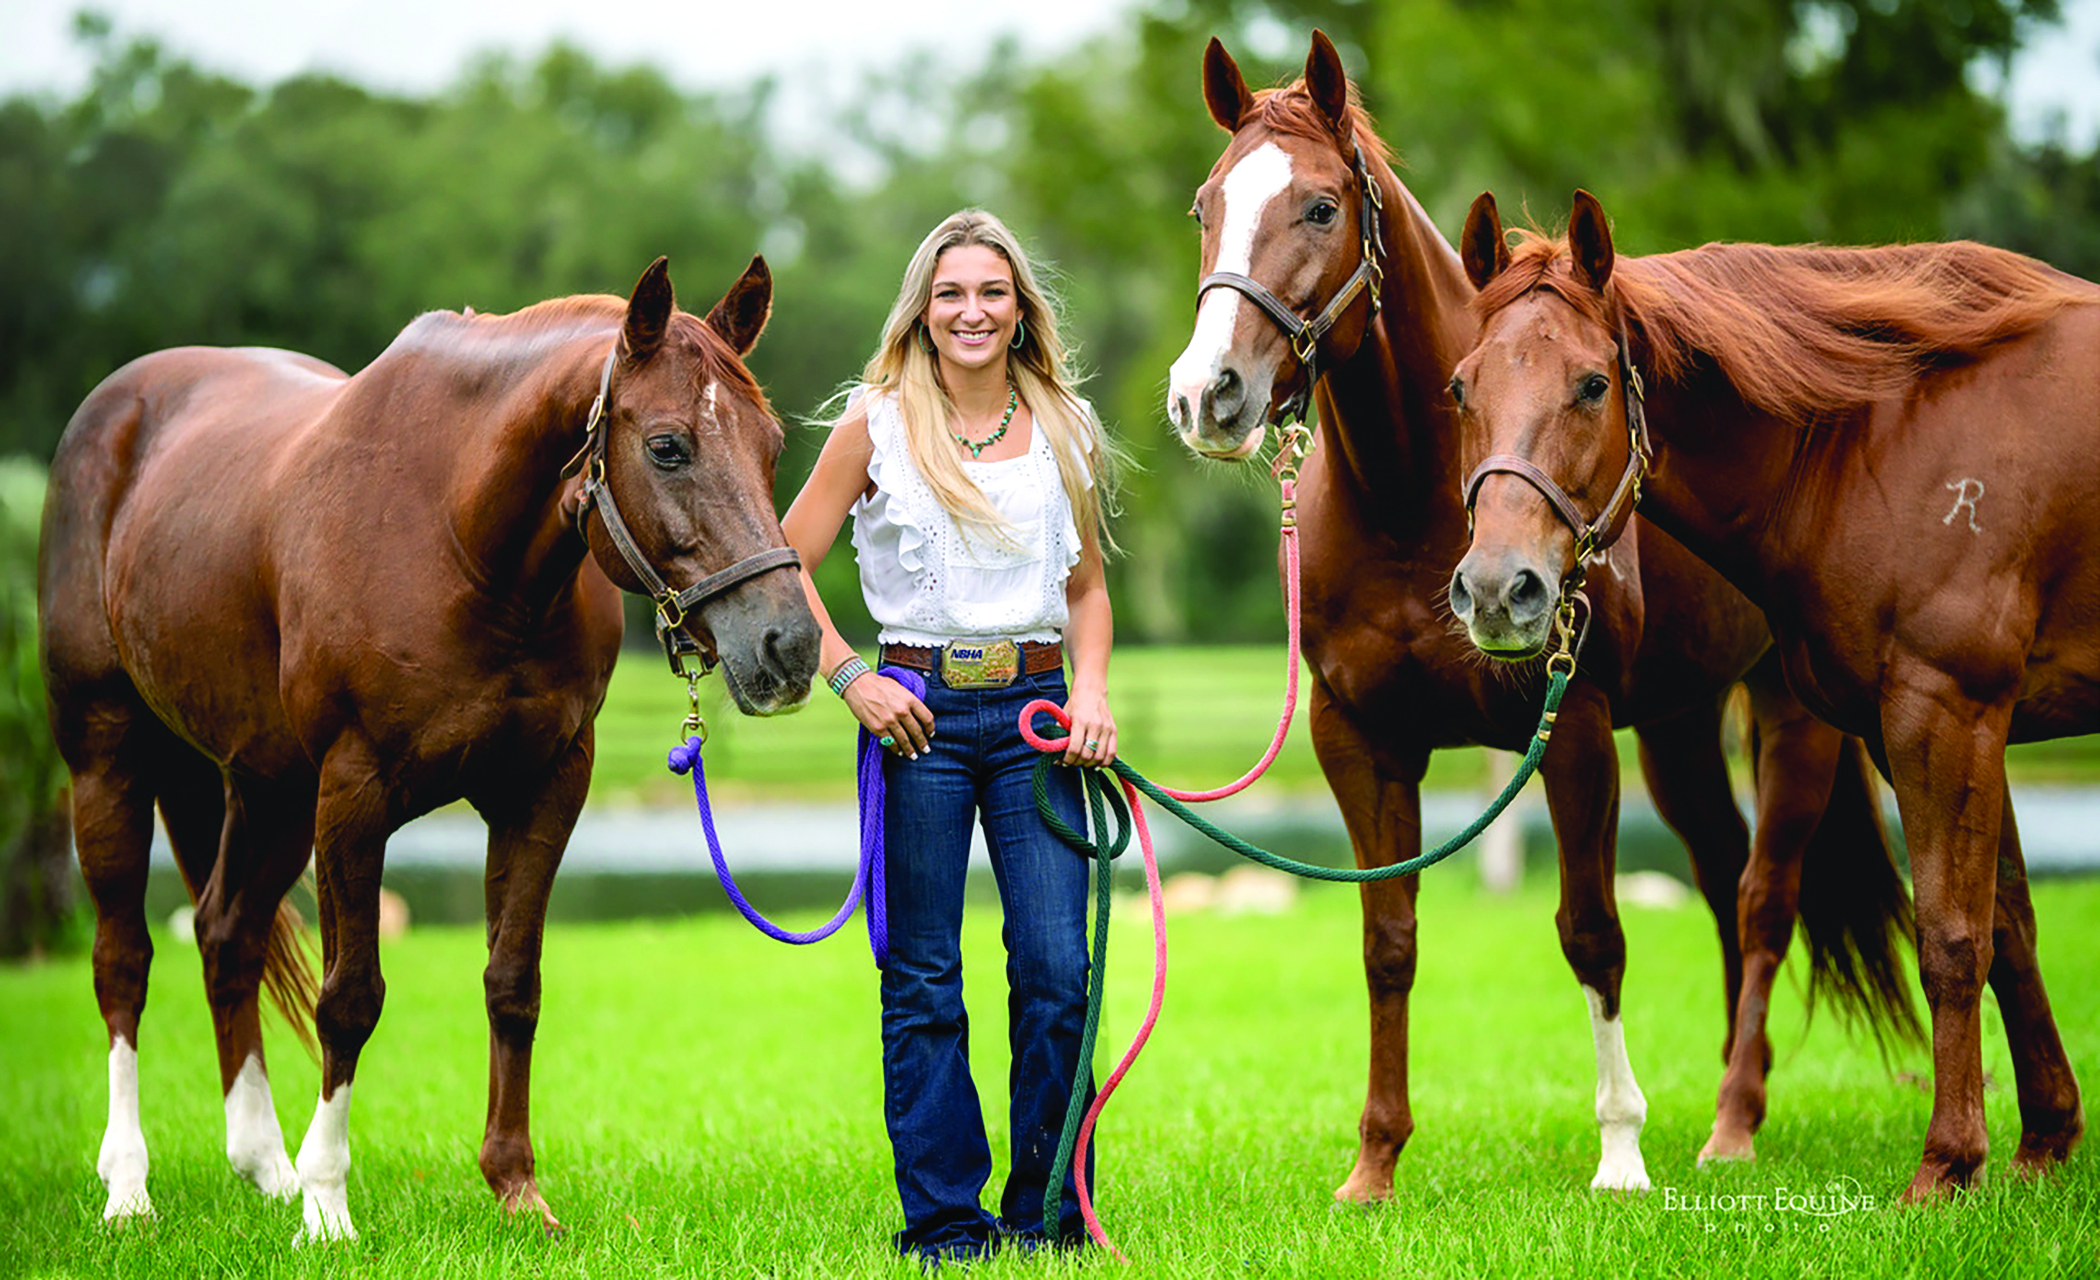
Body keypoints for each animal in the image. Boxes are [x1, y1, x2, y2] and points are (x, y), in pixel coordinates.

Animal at [38, 256, 821, 1239]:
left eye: (770, 446)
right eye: (669, 446)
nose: (789, 647)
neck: (459, 539)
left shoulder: (545, 786)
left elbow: (513, 982)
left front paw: (516, 1189)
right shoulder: (355, 793)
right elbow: (349, 998)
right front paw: (329, 1206)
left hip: (269, 790)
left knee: (226, 936)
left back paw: (265, 1166)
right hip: (108, 760)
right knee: (124, 962)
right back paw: (130, 1186)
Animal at [1164, 31, 1918, 1197]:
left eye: (1323, 207)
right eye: (1206, 204)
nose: (1210, 395)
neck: (1416, 501)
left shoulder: (1570, 731)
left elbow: (1592, 932)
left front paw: (1621, 1151)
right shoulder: (1359, 738)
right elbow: (1388, 938)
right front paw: (1374, 1163)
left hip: (1793, 718)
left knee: (1764, 893)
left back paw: (1733, 1121)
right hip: (1679, 728)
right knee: (1719, 872)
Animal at [1450, 188, 2093, 1198]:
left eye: (1592, 385)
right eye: (1460, 388)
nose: (1494, 590)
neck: (1884, 435)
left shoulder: (1945, 715)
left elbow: (1953, 938)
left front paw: (1946, 1167)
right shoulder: (1940, 729)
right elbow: (2011, 926)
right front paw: (2044, 1141)